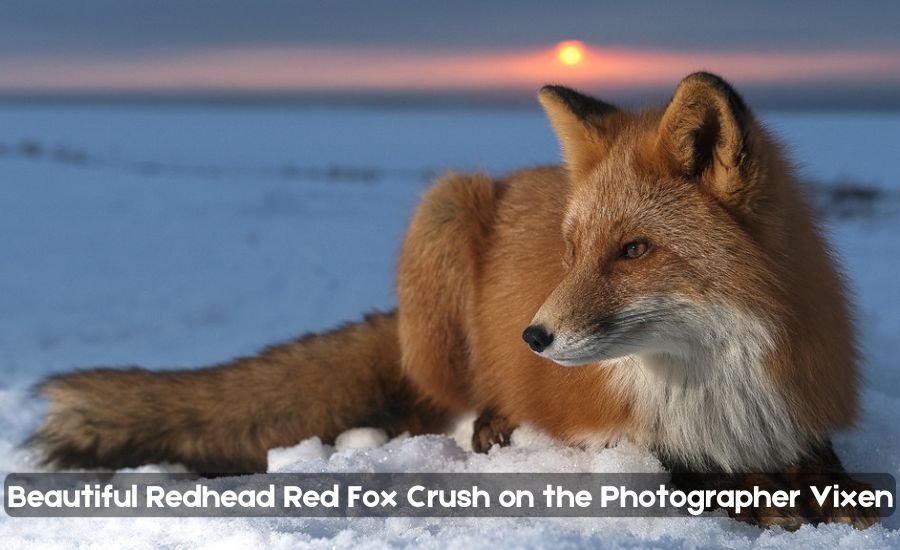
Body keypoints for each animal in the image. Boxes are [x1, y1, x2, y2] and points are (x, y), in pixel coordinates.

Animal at [26, 73, 872, 532]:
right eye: (571, 252)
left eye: (633, 251)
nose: (534, 337)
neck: (713, 379)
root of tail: (518, 174)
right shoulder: (609, 430)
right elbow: (683, 474)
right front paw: (760, 501)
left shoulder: (796, 405)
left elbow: (825, 463)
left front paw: (832, 495)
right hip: (443, 212)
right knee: (432, 405)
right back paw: (488, 421)